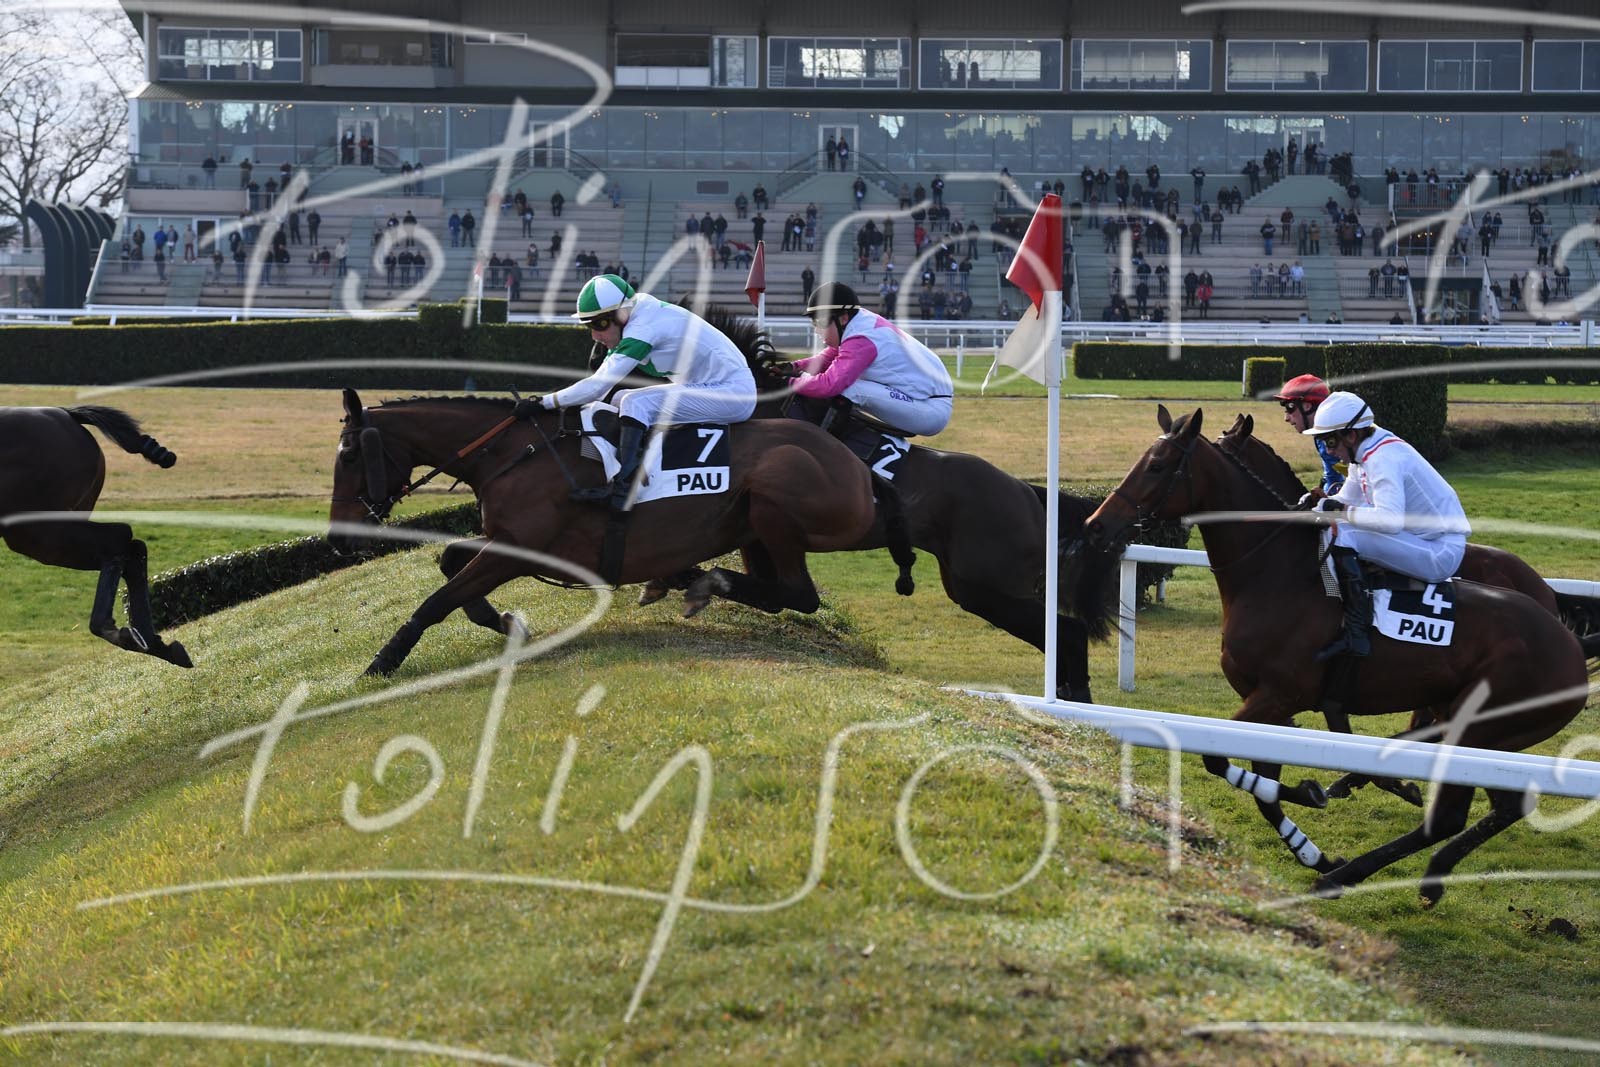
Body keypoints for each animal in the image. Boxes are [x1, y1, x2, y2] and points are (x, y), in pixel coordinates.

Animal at [0, 406, 192, 667]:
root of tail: (64, 413)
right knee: (129, 548)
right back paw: (150, 641)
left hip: (35, 530)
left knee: (119, 538)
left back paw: (123, 634)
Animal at [328, 389, 880, 677]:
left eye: (350, 455)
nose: (337, 539)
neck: (511, 454)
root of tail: (858, 469)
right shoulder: (507, 543)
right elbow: (449, 566)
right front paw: (506, 622)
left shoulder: (518, 550)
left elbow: (436, 600)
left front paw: (382, 663)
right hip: (753, 531)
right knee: (778, 590)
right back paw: (684, 578)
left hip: (776, 489)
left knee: (798, 594)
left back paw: (697, 581)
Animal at [1079, 405, 1594, 903]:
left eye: (1158, 465)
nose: (1095, 524)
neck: (1278, 573)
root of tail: (1568, 642)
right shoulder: (1269, 707)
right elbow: (1263, 794)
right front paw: (1313, 849)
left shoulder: (1277, 697)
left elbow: (1216, 760)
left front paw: (1315, 799)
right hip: (1479, 733)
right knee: (1499, 805)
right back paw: (1404, 867)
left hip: (1479, 728)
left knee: (1450, 816)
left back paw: (1359, 872)